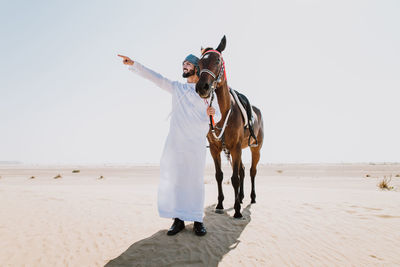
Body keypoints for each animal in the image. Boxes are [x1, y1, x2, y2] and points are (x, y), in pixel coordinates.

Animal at [195, 36, 264, 220]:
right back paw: (240, 197)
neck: (224, 111)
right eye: (199, 63)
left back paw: (251, 198)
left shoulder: (235, 147)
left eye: (217, 60)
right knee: (242, 170)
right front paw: (220, 204)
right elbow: (220, 176)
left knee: (252, 171)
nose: (202, 87)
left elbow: (234, 178)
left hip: (255, 149)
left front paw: (238, 211)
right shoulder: (215, 148)